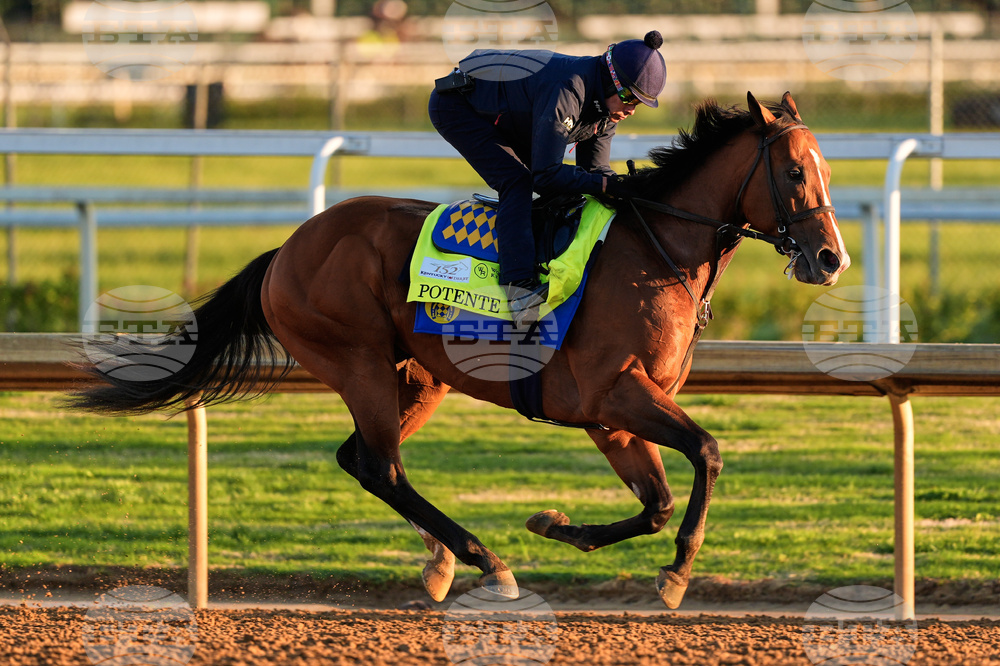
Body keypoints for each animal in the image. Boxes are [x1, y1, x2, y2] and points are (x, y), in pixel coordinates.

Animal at [73, 92, 849, 609]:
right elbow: (708, 452)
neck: (655, 250)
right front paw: (678, 572)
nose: (831, 258)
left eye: (827, 171)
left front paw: (560, 526)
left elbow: (656, 501)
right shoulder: (617, 393)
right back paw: (485, 561)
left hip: (418, 374)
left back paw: (445, 560)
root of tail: (286, 250)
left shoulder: (613, 417)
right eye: (793, 173)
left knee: (361, 459)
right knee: (382, 466)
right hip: (357, 358)